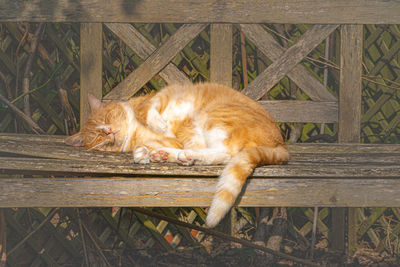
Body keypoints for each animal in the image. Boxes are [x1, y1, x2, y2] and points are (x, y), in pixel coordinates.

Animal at [66, 82, 290, 228]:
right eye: (98, 138)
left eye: (106, 118)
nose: (110, 132)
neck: (134, 132)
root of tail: (281, 144)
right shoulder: (172, 138)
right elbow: (154, 143)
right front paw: (146, 153)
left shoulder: (163, 96)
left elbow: (149, 111)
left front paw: (159, 126)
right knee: (222, 154)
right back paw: (173, 155)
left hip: (214, 114)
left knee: (226, 153)